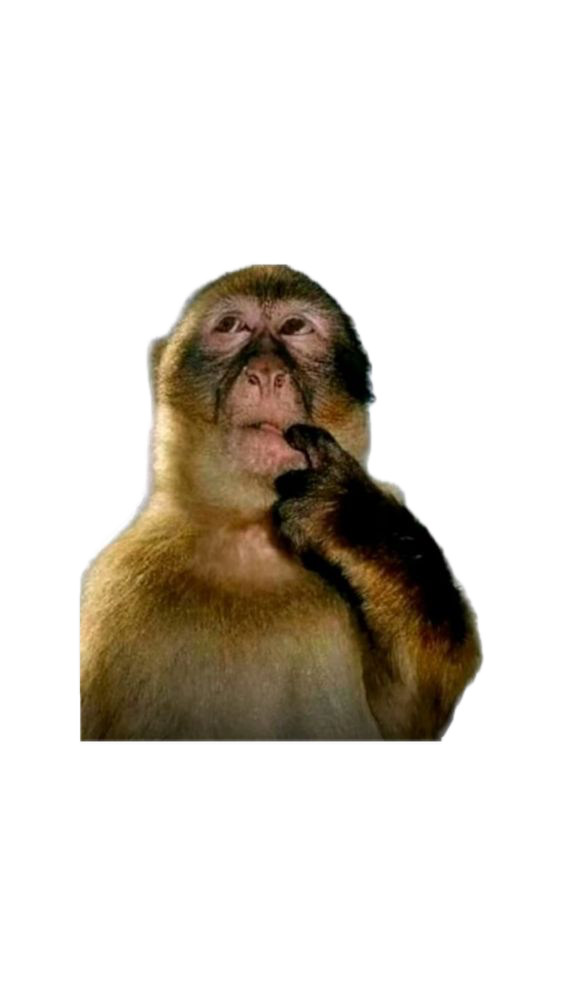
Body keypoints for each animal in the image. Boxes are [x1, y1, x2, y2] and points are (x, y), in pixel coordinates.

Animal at [79, 262, 483, 742]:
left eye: (294, 328)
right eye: (231, 326)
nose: (268, 373)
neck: (250, 535)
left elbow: (411, 713)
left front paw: (349, 515)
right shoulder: (117, 591)